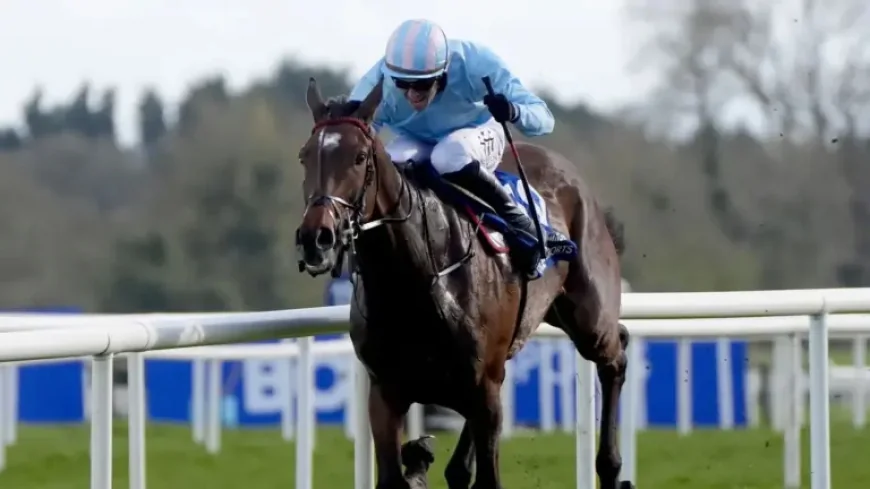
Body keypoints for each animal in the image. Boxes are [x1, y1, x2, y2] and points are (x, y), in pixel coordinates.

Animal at [294, 76, 634, 489]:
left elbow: (489, 476)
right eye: (305, 156)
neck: (412, 280)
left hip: (588, 317)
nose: (316, 238)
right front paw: (420, 457)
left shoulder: (483, 389)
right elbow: (395, 473)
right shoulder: (386, 392)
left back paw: (611, 467)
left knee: (615, 355)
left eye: (359, 157)